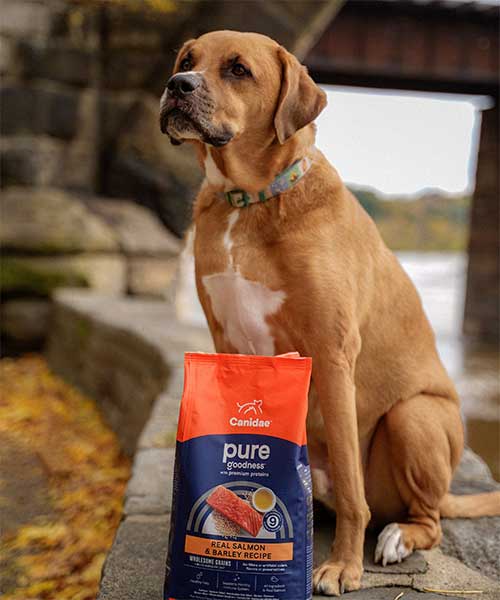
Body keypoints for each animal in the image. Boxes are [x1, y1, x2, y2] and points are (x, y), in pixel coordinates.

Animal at [160, 31, 500, 596]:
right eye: (187, 61)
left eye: (237, 69)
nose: (177, 85)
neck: (248, 202)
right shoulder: (226, 343)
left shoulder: (332, 354)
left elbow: (349, 476)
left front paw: (342, 566)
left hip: (415, 416)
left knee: (421, 517)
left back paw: (398, 537)